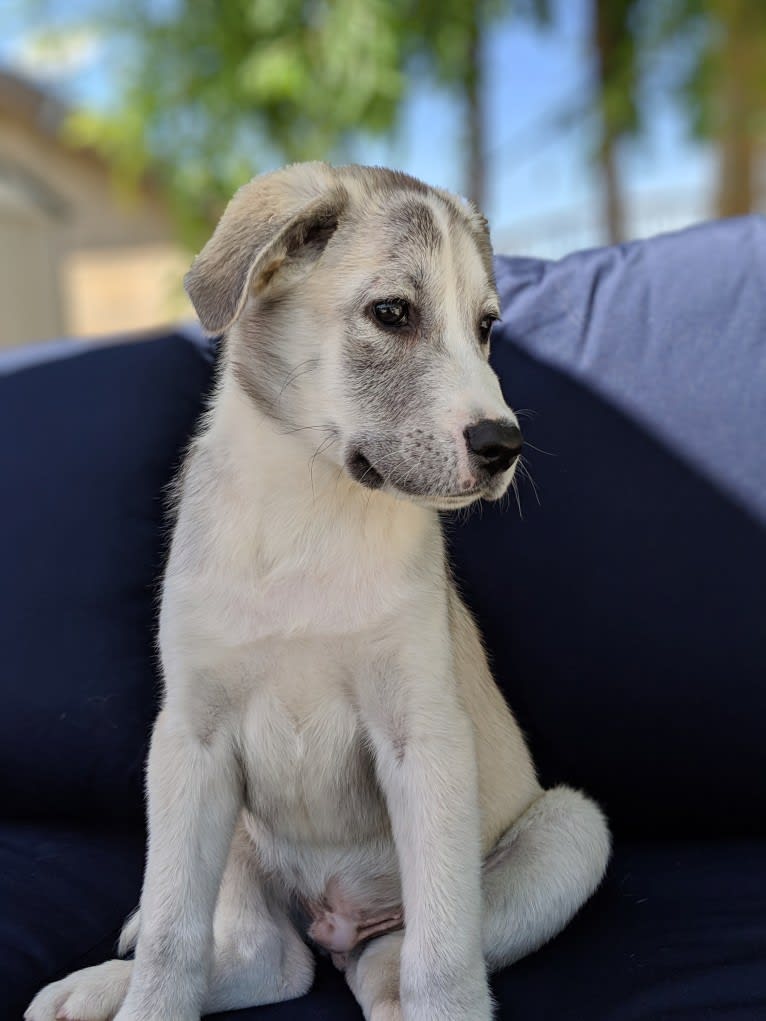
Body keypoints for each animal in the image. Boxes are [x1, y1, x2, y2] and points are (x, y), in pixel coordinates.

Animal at [27, 161, 608, 1021]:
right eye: (392, 313)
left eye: (486, 328)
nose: (503, 446)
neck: (311, 502)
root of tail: (336, 922)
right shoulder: (190, 739)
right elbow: (171, 932)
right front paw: (146, 999)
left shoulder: (423, 736)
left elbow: (443, 954)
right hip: (232, 833)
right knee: (262, 960)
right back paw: (97, 985)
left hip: (572, 828)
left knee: (397, 964)